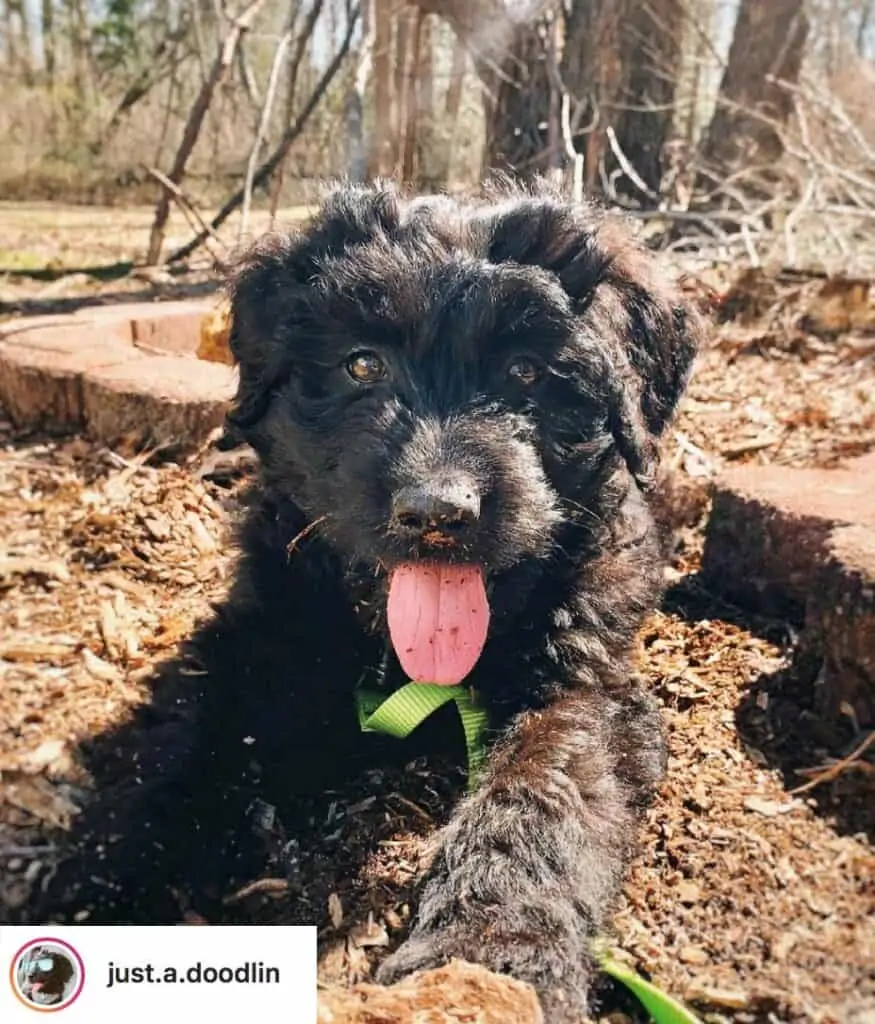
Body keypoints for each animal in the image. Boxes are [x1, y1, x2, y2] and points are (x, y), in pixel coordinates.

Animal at [44, 182, 700, 1015]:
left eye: (526, 371)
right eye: (361, 364)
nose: (435, 512)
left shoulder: (585, 687)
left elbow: (541, 791)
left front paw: (489, 956)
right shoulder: (258, 646)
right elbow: (175, 754)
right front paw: (93, 890)